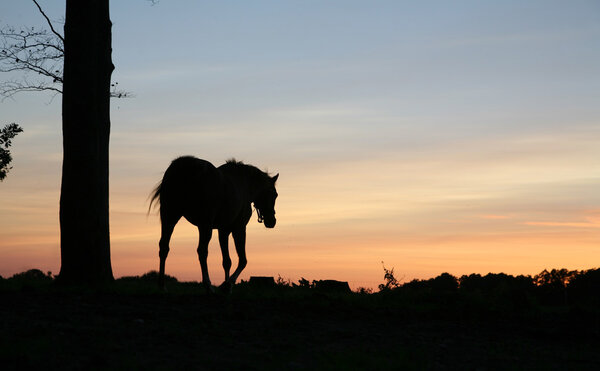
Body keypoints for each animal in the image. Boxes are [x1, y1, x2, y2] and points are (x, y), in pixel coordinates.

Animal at [150, 157, 282, 294]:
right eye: (274, 194)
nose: (272, 221)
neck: (244, 184)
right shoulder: (239, 228)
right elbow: (242, 260)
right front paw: (227, 285)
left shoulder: (223, 230)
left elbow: (227, 261)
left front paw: (227, 286)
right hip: (204, 225)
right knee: (202, 251)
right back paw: (208, 286)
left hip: (169, 217)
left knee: (164, 247)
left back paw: (162, 286)